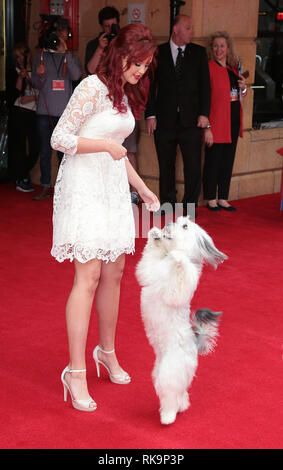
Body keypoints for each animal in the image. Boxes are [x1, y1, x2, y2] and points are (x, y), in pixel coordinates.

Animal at [136, 217, 229, 426]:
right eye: (178, 220)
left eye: (185, 226)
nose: (168, 224)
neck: (169, 263)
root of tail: (194, 343)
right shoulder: (150, 269)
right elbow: (149, 259)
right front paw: (155, 235)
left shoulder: (178, 288)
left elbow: (180, 275)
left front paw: (179, 256)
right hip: (160, 373)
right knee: (179, 395)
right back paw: (179, 407)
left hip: (170, 372)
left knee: (172, 396)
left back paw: (168, 416)